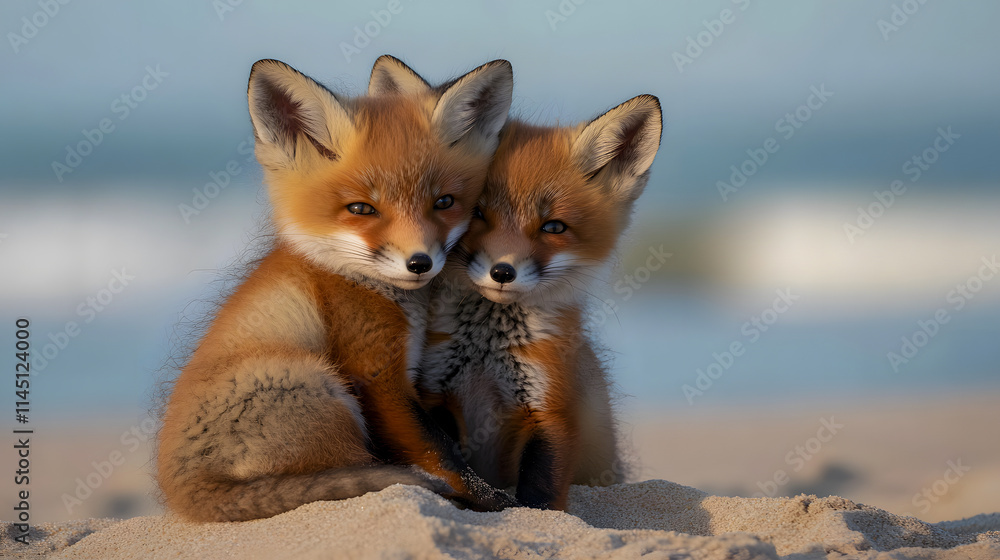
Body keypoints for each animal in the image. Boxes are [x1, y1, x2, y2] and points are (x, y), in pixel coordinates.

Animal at [156, 55, 518, 522]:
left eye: (444, 203)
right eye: (361, 208)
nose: (420, 263)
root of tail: (182, 493)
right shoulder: (377, 376)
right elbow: (440, 453)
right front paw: (495, 501)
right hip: (319, 383)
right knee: (361, 468)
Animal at [417, 95, 663, 510]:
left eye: (553, 227)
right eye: (478, 212)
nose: (502, 272)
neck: (485, 353)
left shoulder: (551, 409)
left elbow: (541, 494)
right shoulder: (436, 392)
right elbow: (451, 464)